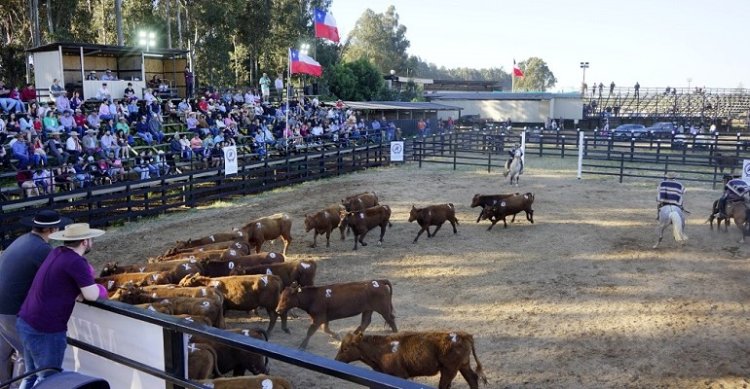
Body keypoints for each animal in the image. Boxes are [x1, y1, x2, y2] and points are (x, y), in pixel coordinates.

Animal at [338, 330, 490, 388]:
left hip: (449, 370)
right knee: (472, 379)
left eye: (345, 348)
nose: (337, 359)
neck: (383, 350)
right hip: (463, 365)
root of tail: (463, 335)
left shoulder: (400, 375)